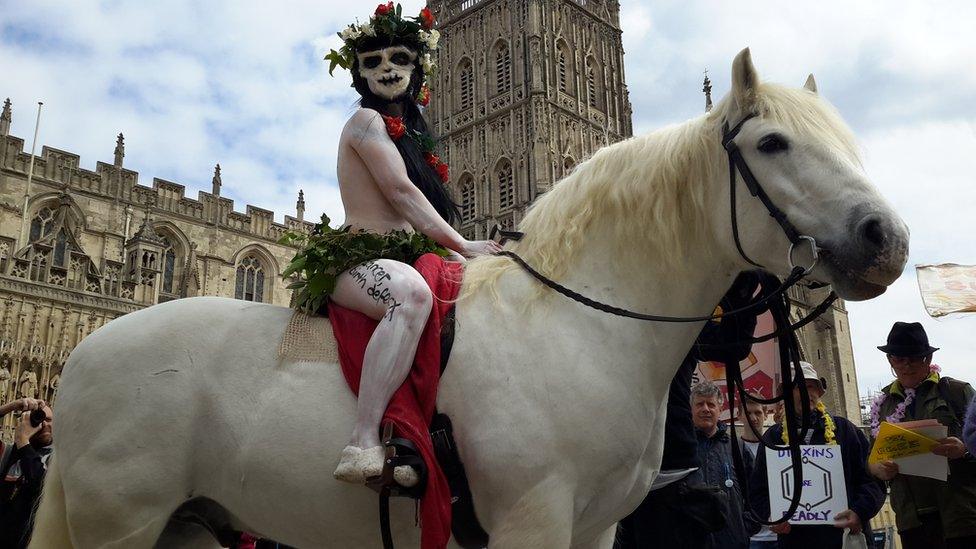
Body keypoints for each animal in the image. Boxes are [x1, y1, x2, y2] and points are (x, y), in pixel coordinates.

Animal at [34, 49, 912, 544]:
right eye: (772, 143)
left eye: (849, 140)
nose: (888, 237)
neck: (575, 322)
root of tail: (88, 352)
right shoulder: (532, 517)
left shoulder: (596, 527)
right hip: (122, 514)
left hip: (186, 520)